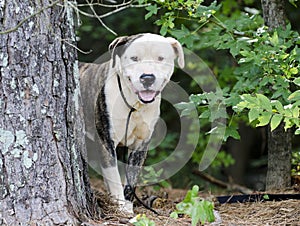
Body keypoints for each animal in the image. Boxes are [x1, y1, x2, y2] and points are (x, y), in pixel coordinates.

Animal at [78, 32, 184, 213]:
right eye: (134, 58)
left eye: (160, 58)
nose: (147, 78)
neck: (134, 104)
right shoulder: (106, 141)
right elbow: (113, 176)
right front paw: (121, 207)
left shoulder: (141, 145)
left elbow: (131, 179)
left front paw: (127, 204)